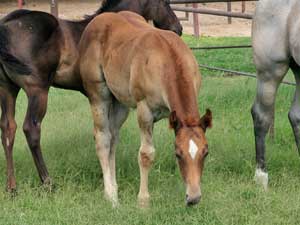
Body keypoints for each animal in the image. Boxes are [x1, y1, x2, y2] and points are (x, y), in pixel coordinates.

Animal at [0, 0, 183, 193]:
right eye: (165, 3)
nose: (178, 28)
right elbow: (106, 134)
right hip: (37, 91)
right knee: (31, 129)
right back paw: (48, 182)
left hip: (8, 89)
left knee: (8, 128)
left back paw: (11, 187)